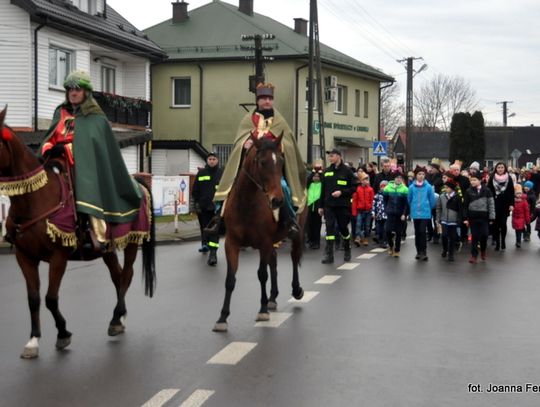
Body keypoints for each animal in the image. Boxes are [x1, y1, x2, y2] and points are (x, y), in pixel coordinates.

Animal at [0, 107, 156, 358]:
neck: (36, 199)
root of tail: (137, 181)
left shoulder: (58, 257)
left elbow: (50, 299)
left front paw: (63, 333)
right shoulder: (24, 257)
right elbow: (33, 299)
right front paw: (33, 341)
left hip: (132, 242)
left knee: (126, 275)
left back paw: (116, 318)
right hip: (106, 249)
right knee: (117, 276)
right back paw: (119, 317)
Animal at [213, 135, 306, 334]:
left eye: (281, 162)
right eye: (262, 162)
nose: (277, 200)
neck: (246, 203)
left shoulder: (264, 242)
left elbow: (262, 274)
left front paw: (262, 309)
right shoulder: (231, 244)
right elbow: (230, 280)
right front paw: (223, 317)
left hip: (297, 233)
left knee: (294, 258)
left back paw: (296, 290)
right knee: (274, 261)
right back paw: (272, 297)